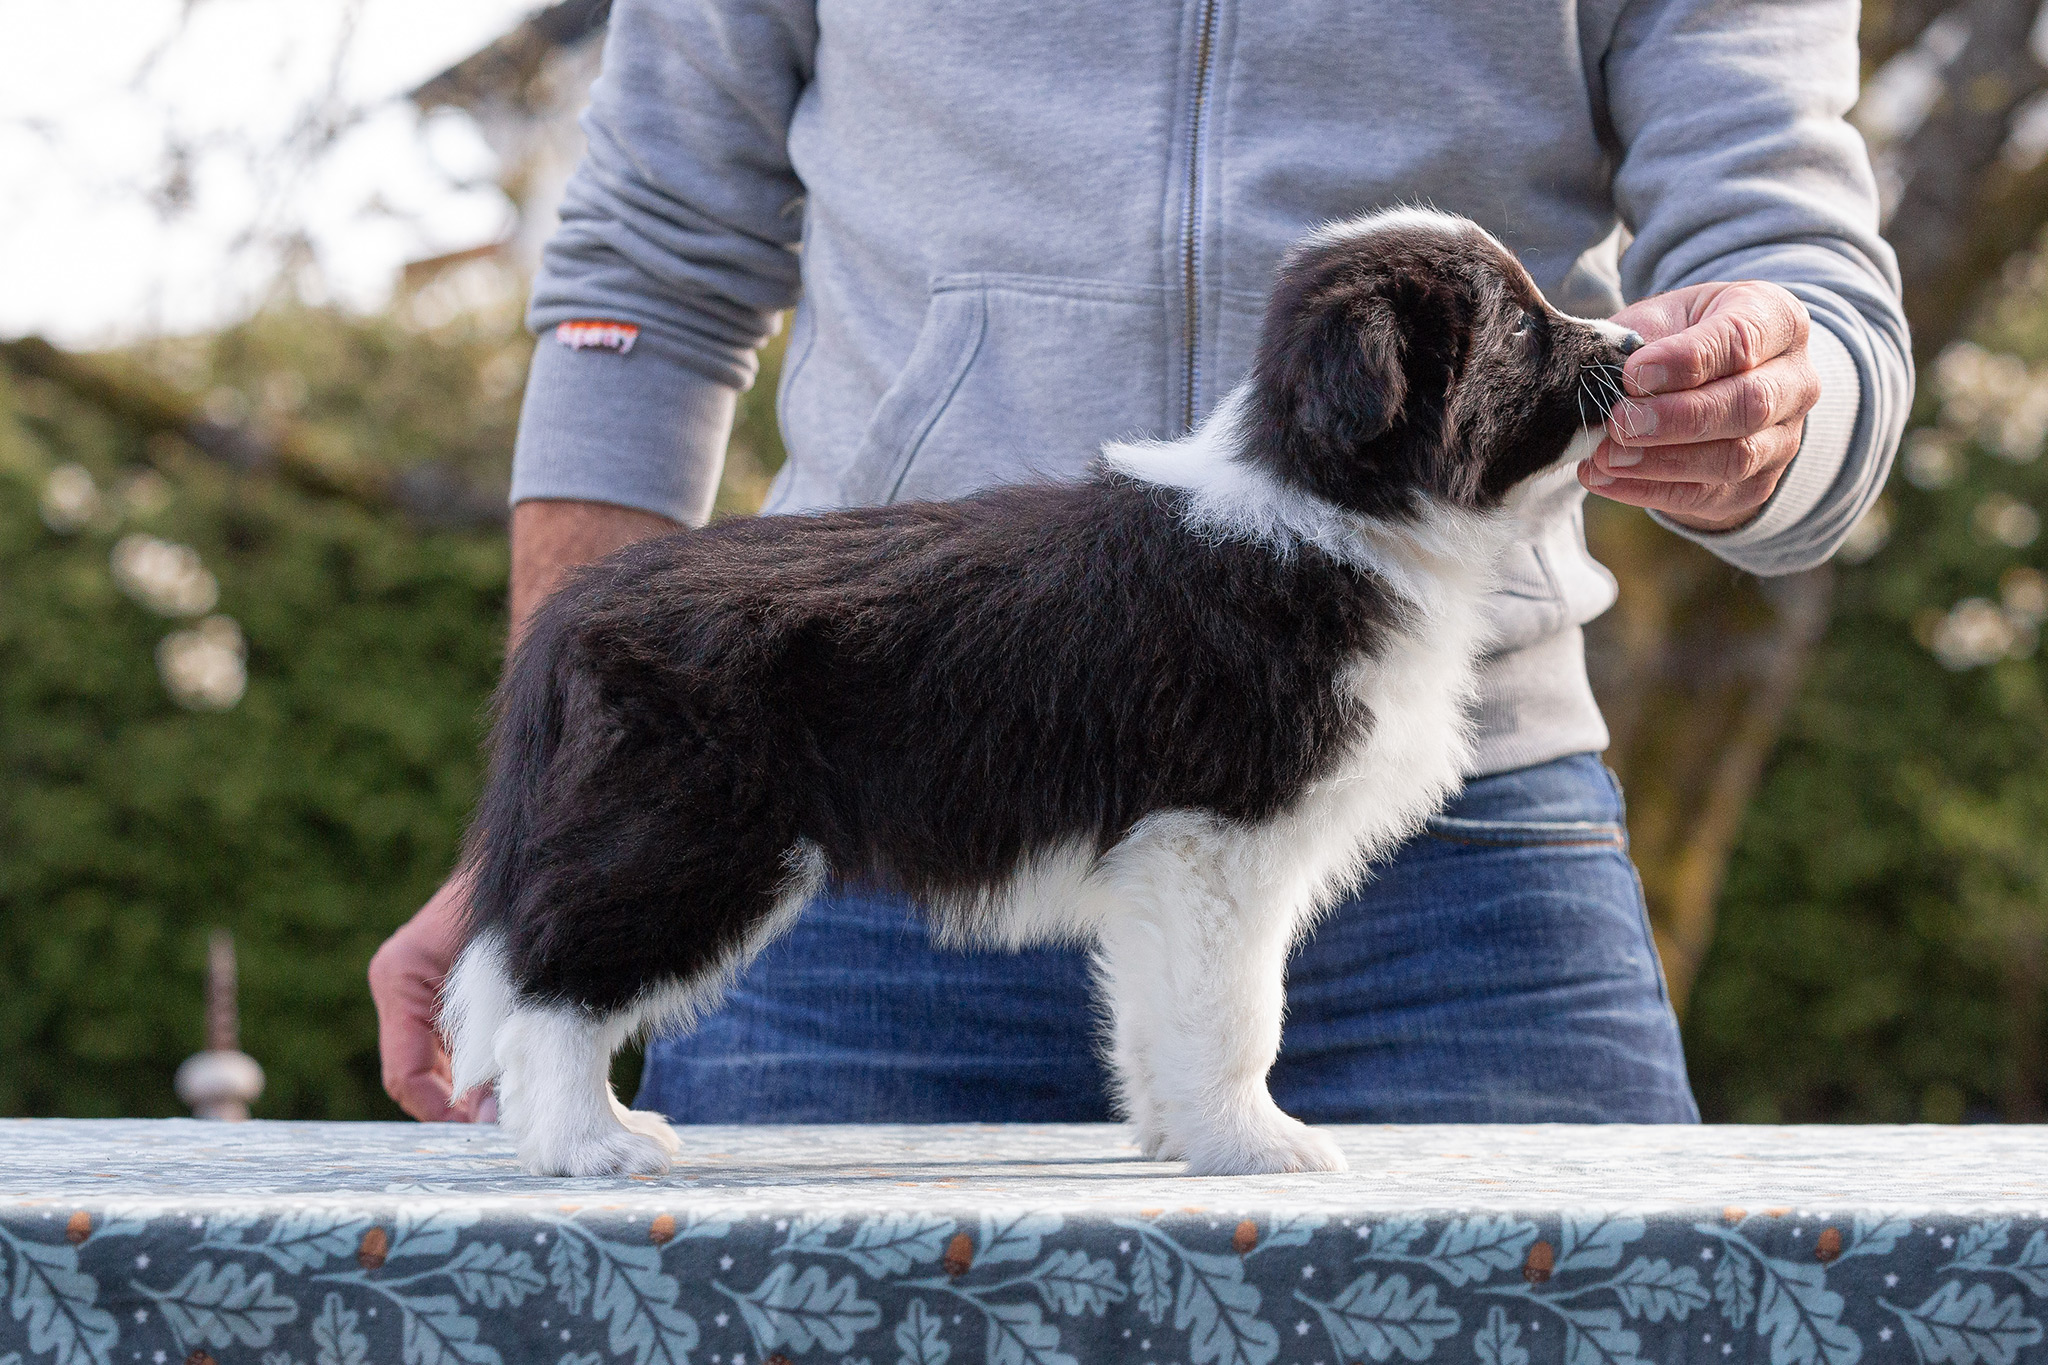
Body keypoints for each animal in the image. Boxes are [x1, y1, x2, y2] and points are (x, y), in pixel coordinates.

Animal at [440, 208, 1638, 1178]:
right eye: (1520, 328)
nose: (1631, 346)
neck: (1330, 509)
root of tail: (574, 613)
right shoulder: (1216, 836)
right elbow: (1237, 1010)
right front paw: (1254, 1144)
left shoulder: (1165, 860)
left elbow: (1158, 1002)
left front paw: (1175, 1135)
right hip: (690, 835)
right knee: (555, 982)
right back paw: (588, 1143)